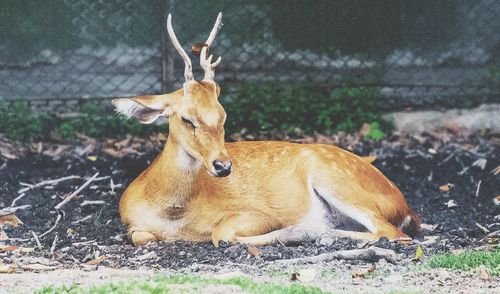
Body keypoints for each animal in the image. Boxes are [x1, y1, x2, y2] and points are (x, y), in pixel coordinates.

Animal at [112, 13, 418, 248]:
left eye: (223, 115)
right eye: (187, 119)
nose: (223, 166)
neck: (172, 214)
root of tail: (406, 208)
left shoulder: (256, 213)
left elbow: (221, 233)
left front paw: (292, 232)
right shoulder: (131, 223)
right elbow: (141, 237)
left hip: (336, 179)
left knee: (392, 232)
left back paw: (314, 233)